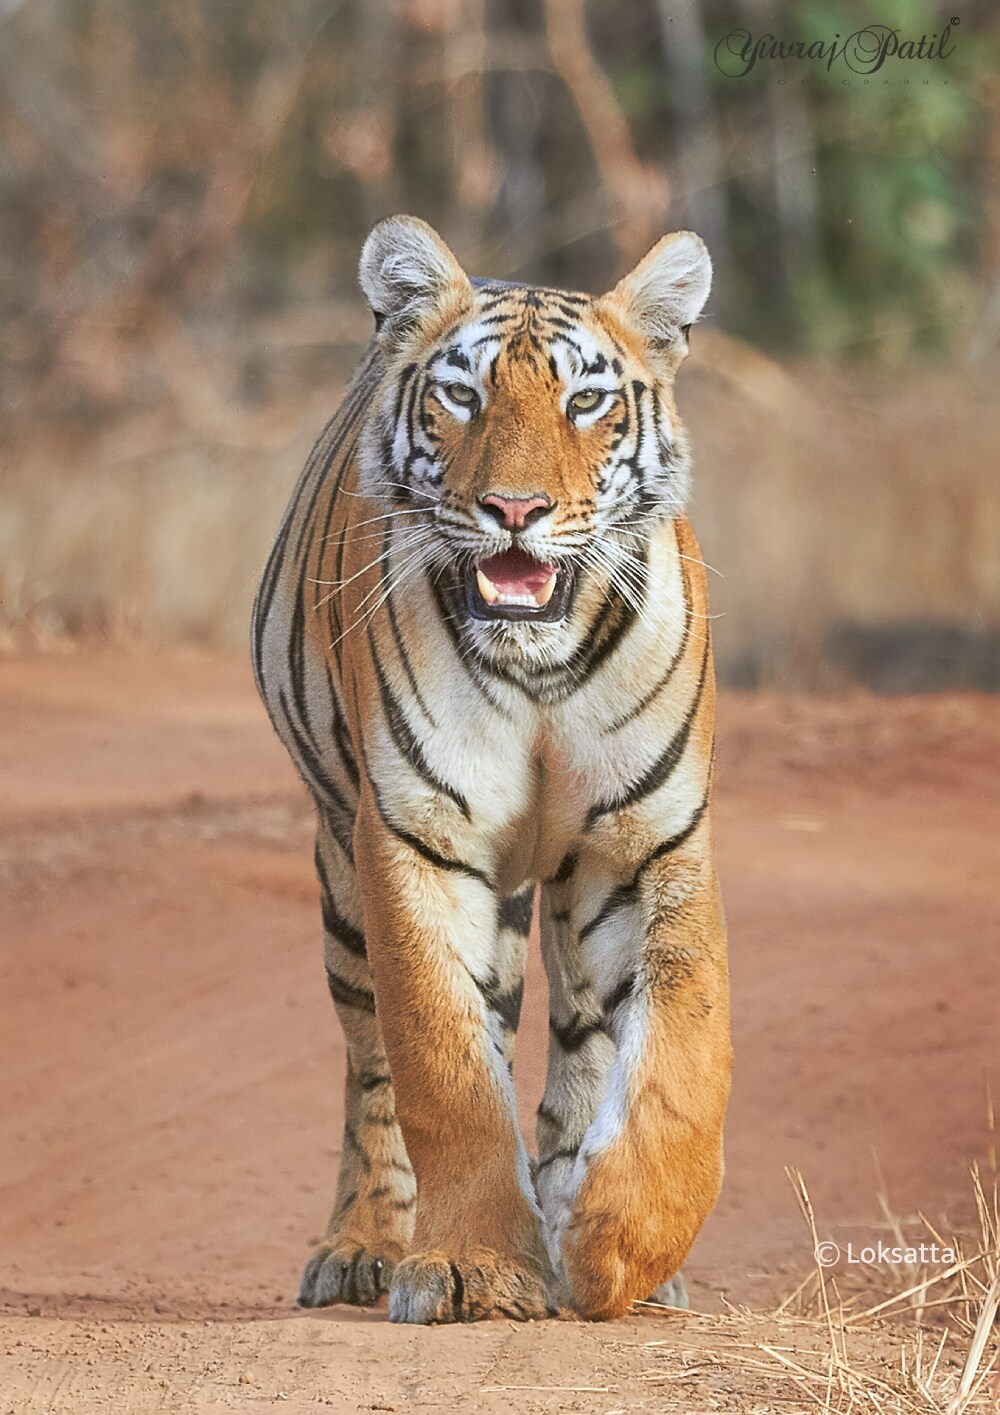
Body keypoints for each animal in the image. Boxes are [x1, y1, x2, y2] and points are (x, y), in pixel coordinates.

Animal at [250, 215, 735, 1318]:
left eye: (585, 401)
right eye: (462, 396)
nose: (516, 508)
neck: (541, 664)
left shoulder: (651, 843)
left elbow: (685, 1049)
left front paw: (620, 1245)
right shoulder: (417, 836)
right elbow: (444, 1062)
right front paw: (472, 1265)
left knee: (584, 1038)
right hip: (345, 871)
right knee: (374, 1070)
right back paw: (363, 1246)